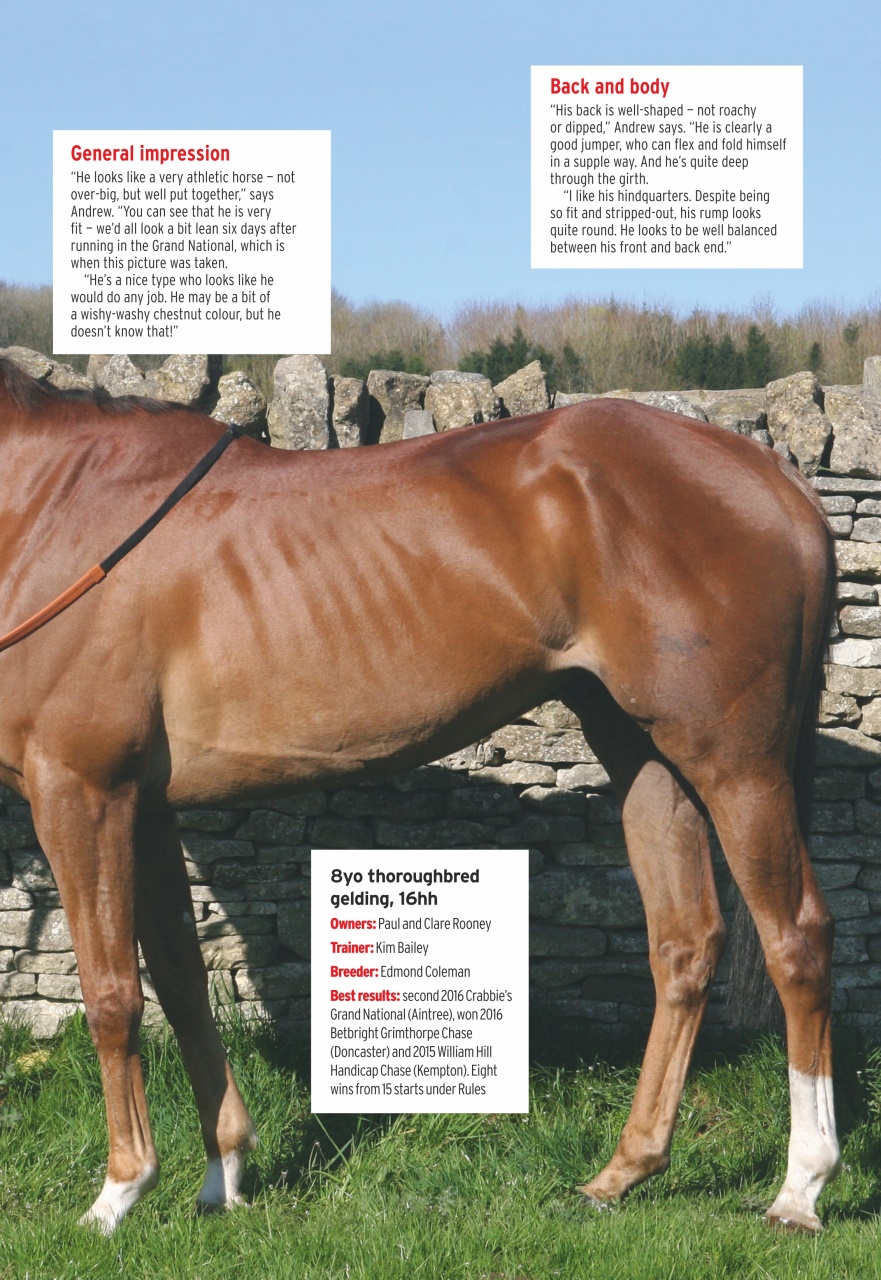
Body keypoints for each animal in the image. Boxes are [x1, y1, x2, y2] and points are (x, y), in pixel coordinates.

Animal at [0, 356, 839, 1233]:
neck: (58, 508)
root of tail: (773, 476)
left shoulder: (80, 791)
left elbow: (112, 995)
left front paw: (118, 1193)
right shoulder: (144, 806)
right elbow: (180, 982)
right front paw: (221, 1175)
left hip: (735, 763)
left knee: (796, 941)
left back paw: (800, 1187)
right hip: (644, 756)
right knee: (684, 942)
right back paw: (622, 1172)